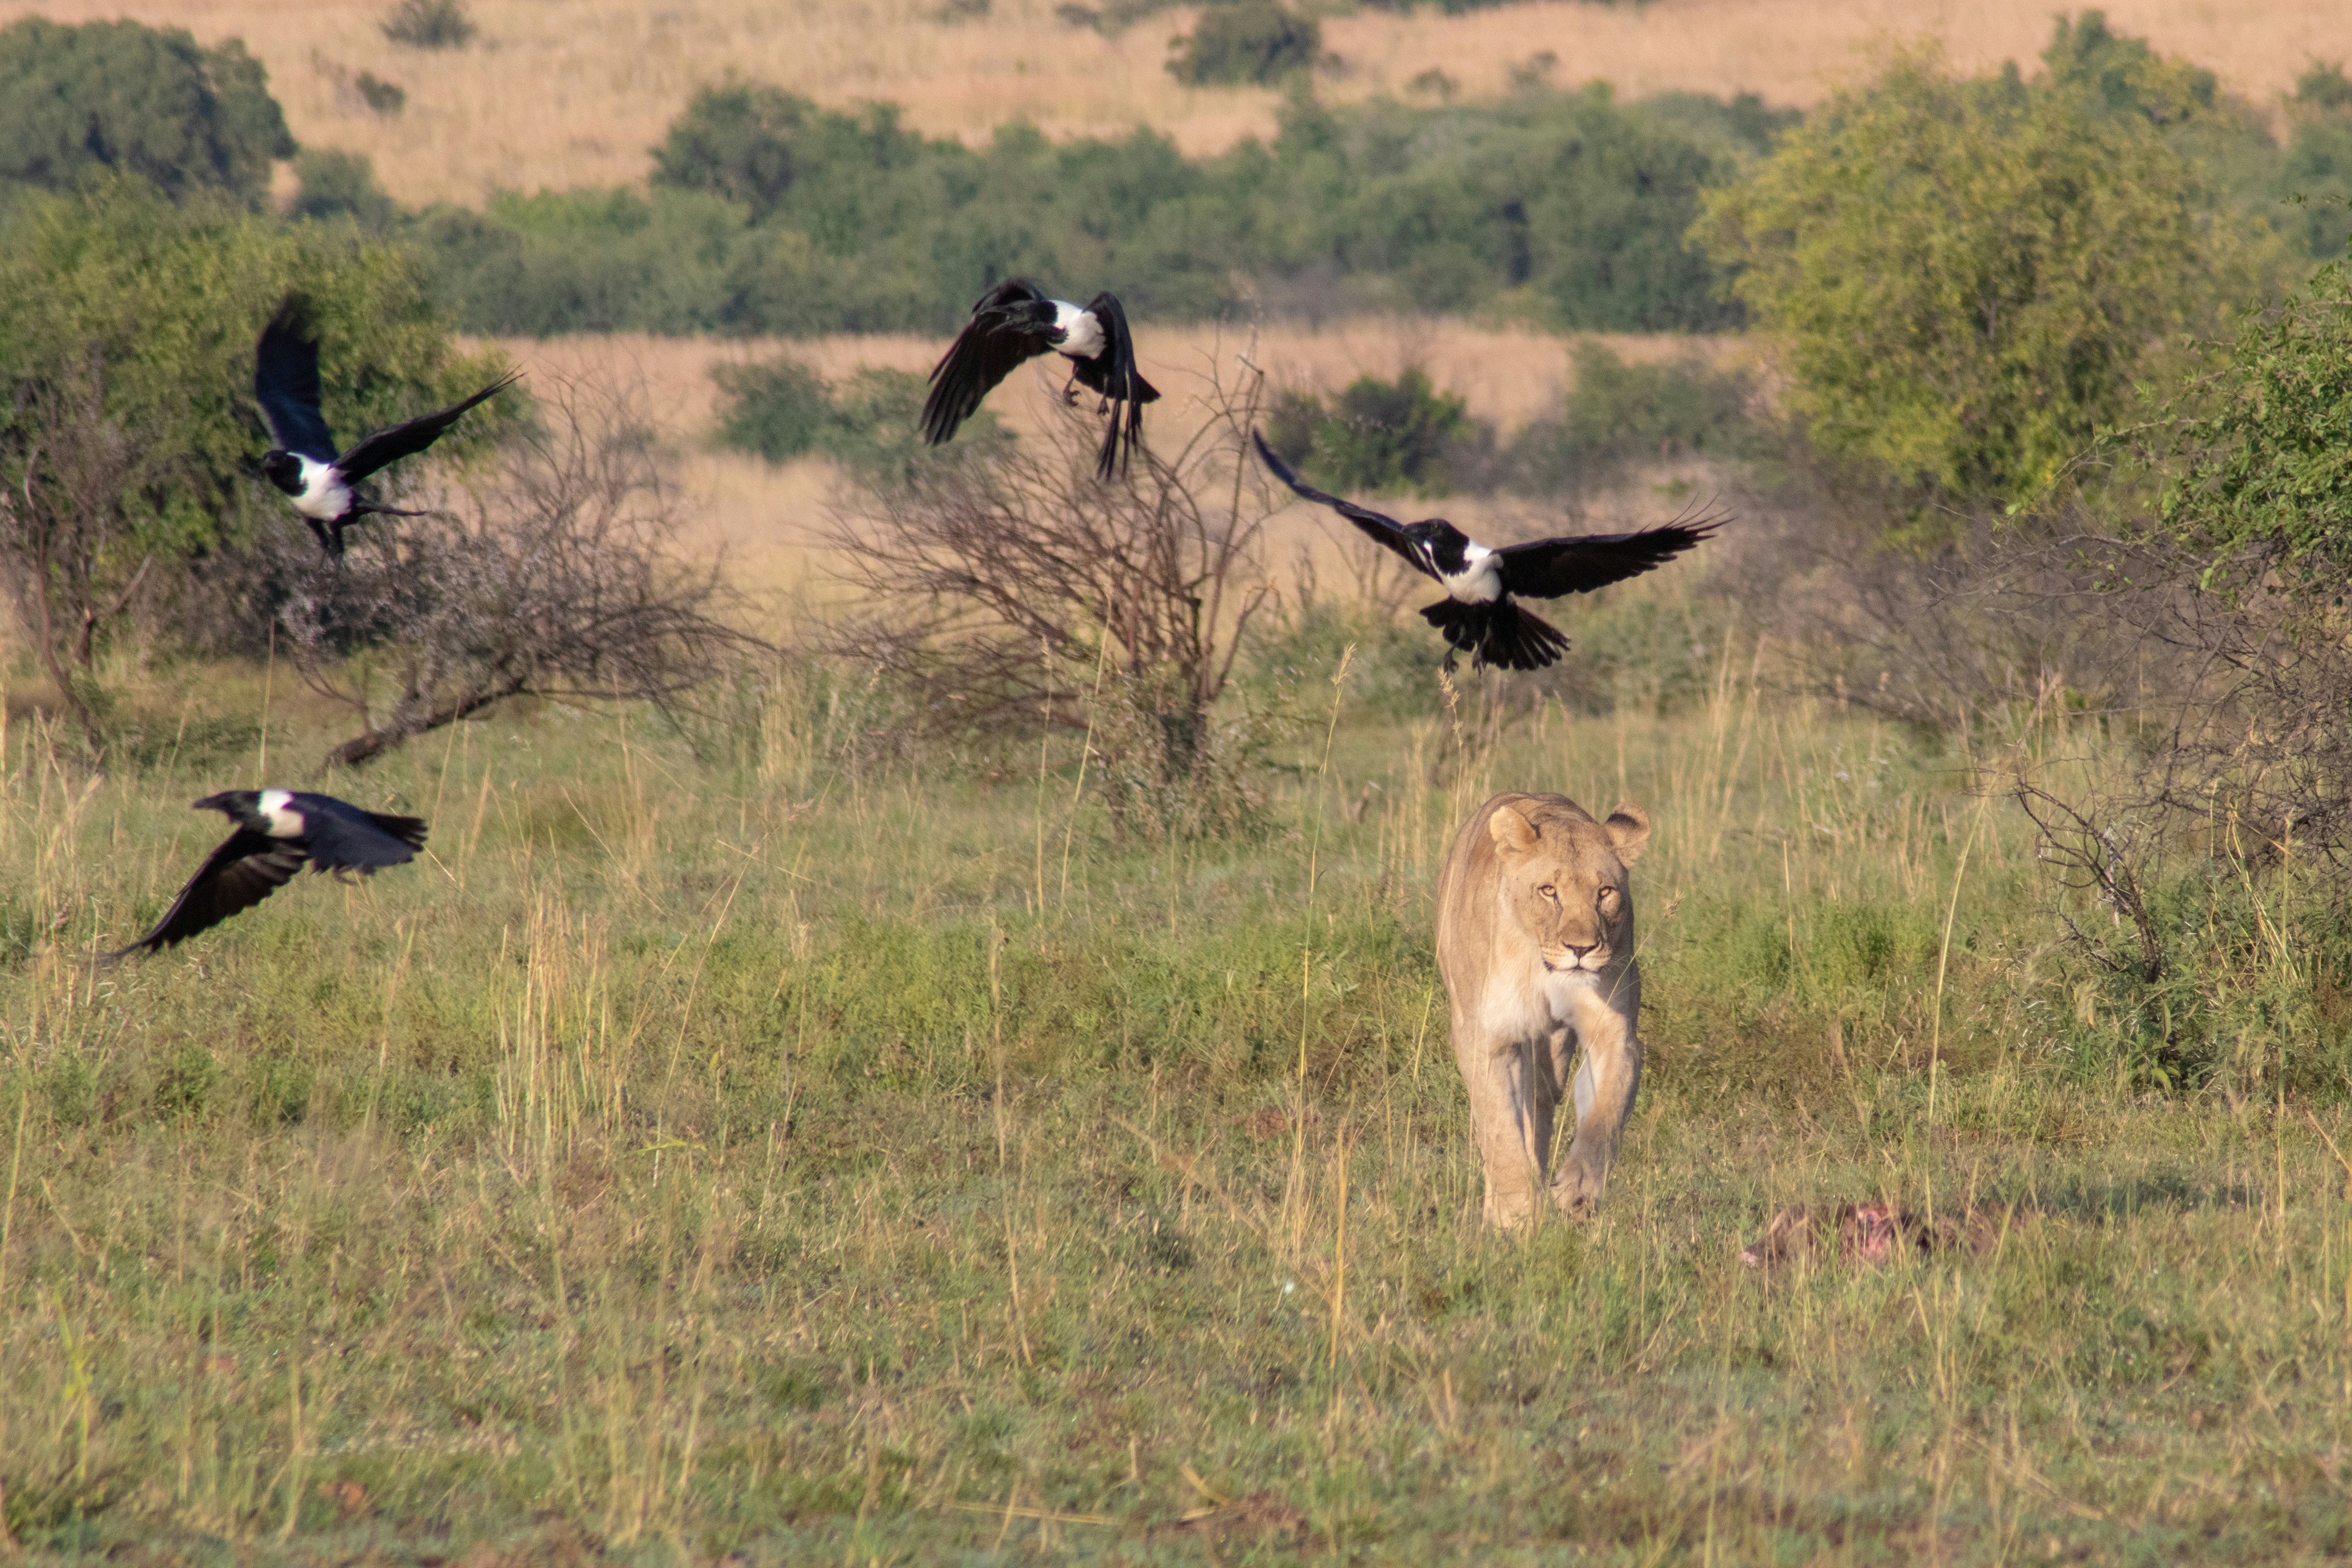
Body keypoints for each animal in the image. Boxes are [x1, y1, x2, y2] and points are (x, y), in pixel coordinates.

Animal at [1435, 792, 1649, 1226]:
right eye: (1548, 891)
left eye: (1605, 892)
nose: (1581, 949)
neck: (1541, 965)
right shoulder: (1486, 1038)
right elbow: (1500, 1132)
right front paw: (1516, 1214)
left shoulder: (1614, 1031)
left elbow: (1606, 1115)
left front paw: (1577, 1191)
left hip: (1551, 1051)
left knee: (1541, 1106)